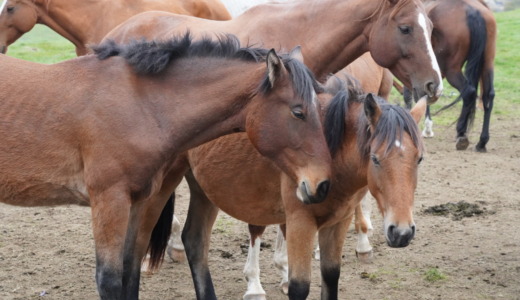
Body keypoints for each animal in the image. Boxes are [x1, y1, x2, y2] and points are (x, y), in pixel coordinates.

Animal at [0, 33, 334, 300]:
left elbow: (130, 267)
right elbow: (109, 280)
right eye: (298, 112)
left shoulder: (139, 200)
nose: (322, 185)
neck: (139, 104)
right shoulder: (109, 200)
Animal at [181, 74, 428, 298]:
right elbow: (299, 287)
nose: (402, 232)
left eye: (420, 159)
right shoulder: (301, 222)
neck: (329, 151)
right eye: (375, 158)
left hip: (204, 192)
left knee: (194, 242)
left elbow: (331, 276)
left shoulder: (339, 222)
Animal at [402, 0, 496, 152]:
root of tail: (472, 10)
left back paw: (461, 132)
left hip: (452, 70)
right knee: (488, 96)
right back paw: (482, 141)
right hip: (487, 62)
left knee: (469, 92)